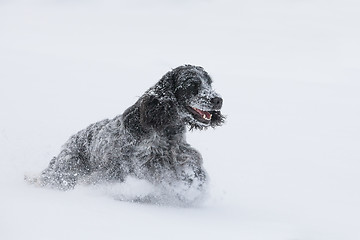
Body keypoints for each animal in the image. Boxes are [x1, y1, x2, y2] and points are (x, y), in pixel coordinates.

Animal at [28, 64, 224, 203]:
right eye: (192, 85)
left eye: (209, 83)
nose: (218, 100)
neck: (166, 132)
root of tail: (69, 142)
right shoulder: (142, 164)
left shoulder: (182, 156)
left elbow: (192, 169)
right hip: (69, 167)